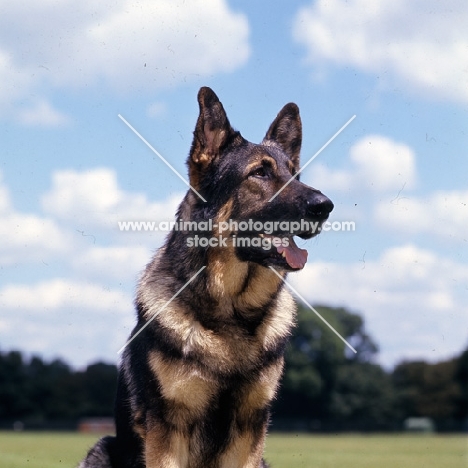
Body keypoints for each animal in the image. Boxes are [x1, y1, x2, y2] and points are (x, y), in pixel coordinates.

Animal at [79, 88, 332, 468]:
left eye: (295, 175)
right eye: (260, 173)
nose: (325, 206)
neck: (231, 312)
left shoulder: (249, 430)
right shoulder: (168, 430)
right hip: (100, 448)